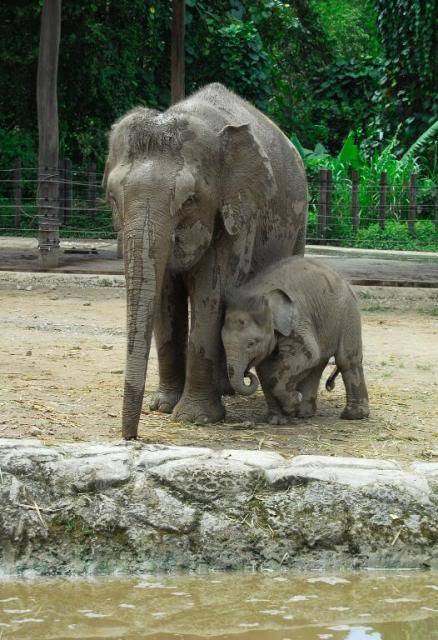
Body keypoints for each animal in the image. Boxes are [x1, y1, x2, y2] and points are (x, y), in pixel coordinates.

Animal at [103, 82, 308, 438]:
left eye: (189, 200)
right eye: (113, 197)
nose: (131, 437)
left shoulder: (237, 213)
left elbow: (211, 292)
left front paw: (194, 418)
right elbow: (165, 295)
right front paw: (163, 406)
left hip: (299, 221)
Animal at [222, 255, 370, 424]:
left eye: (251, 343)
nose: (246, 374)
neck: (260, 293)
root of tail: (345, 280)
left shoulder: (297, 321)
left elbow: (308, 354)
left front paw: (292, 402)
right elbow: (266, 369)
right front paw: (277, 420)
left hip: (348, 313)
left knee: (346, 360)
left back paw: (353, 416)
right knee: (318, 363)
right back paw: (304, 413)